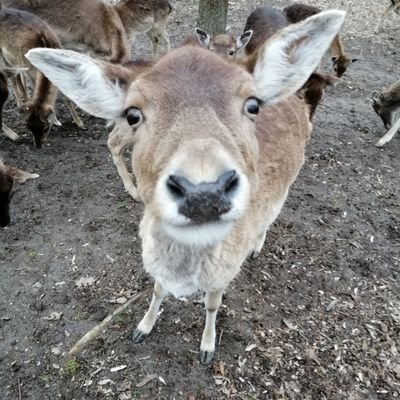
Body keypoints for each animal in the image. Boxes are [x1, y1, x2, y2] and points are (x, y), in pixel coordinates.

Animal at [0, 7, 84, 148]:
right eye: (29, 127)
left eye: (45, 127)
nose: (38, 145)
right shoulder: (28, 69)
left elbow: (66, 97)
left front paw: (80, 123)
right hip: (6, 57)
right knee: (14, 79)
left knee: (15, 78)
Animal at [26, 10, 346, 366]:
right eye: (132, 114)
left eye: (252, 105)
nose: (203, 191)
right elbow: (157, 290)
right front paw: (142, 328)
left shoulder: (224, 272)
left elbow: (212, 304)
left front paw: (207, 348)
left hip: (288, 182)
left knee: (274, 212)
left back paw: (257, 245)